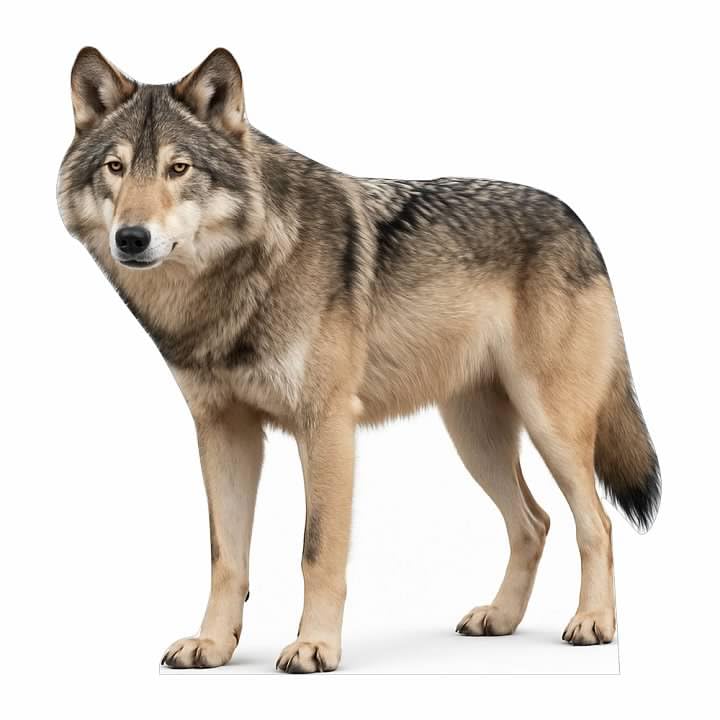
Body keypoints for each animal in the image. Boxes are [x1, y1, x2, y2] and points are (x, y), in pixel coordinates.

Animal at [57, 47, 660, 672]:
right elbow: (226, 558)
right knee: (534, 523)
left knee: (596, 522)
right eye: (115, 167)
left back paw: (593, 622)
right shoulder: (222, 431)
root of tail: (577, 221)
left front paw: (315, 646)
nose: (131, 238)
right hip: (476, 438)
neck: (238, 283)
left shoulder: (325, 427)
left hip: (550, 428)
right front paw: (214, 645)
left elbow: (316, 551)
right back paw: (501, 617)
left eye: (179, 169)